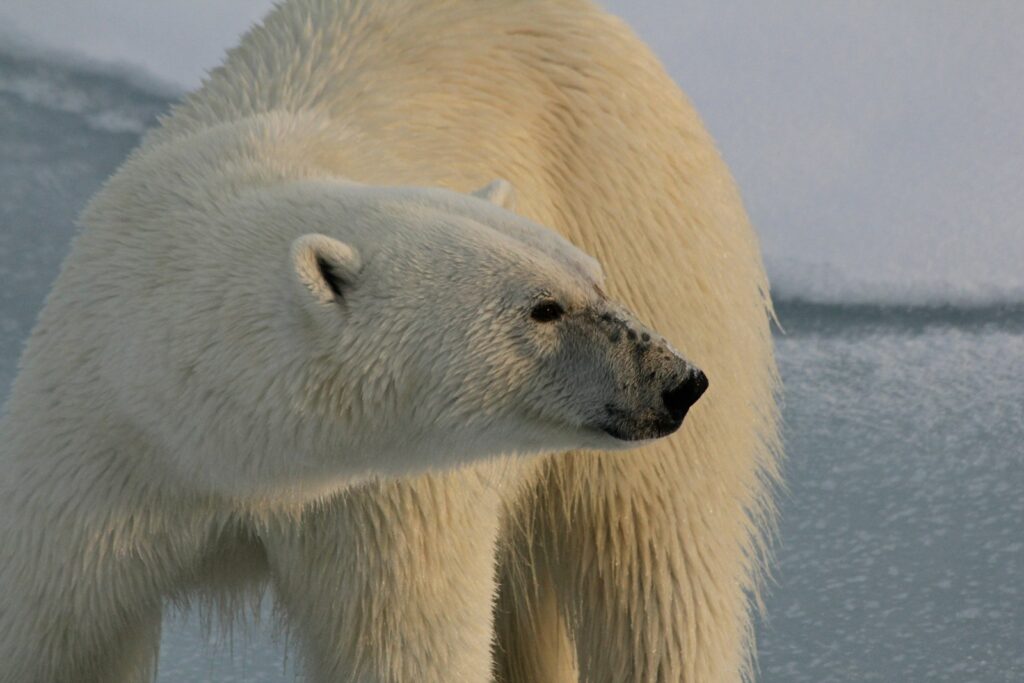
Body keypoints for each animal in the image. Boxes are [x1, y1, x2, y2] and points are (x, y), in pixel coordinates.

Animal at [0, 0, 781, 682]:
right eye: (545, 308)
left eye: (591, 278)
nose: (675, 380)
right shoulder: (94, 465)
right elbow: (55, 640)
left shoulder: (383, 502)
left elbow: (406, 648)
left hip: (650, 215)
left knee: (659, 575)